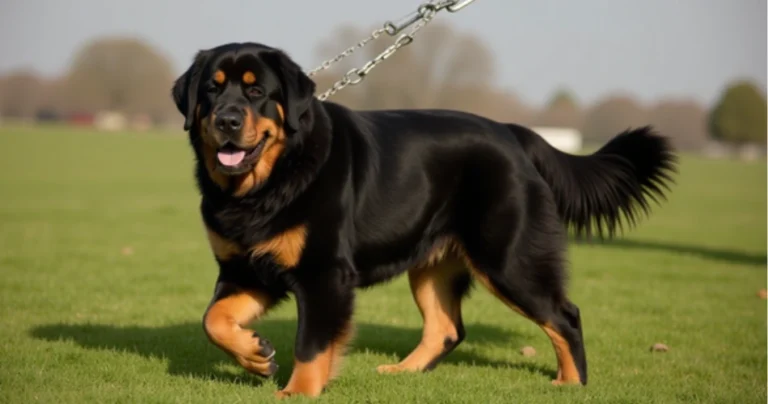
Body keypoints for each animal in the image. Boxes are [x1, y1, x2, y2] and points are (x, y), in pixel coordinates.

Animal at [171, 41, 676, 398]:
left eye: (257, 91)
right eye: (212, 89)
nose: (227, 120)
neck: (266, 183)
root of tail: (513, 133)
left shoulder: (323, 274)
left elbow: (311, 345)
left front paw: (297, 392)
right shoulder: (244, 269)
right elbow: (214, 319)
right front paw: (255, 355)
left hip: (508, 259)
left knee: (565, 316)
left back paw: (570, 383)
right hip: (433, 264)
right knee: (446, 328)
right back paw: (402, 372)